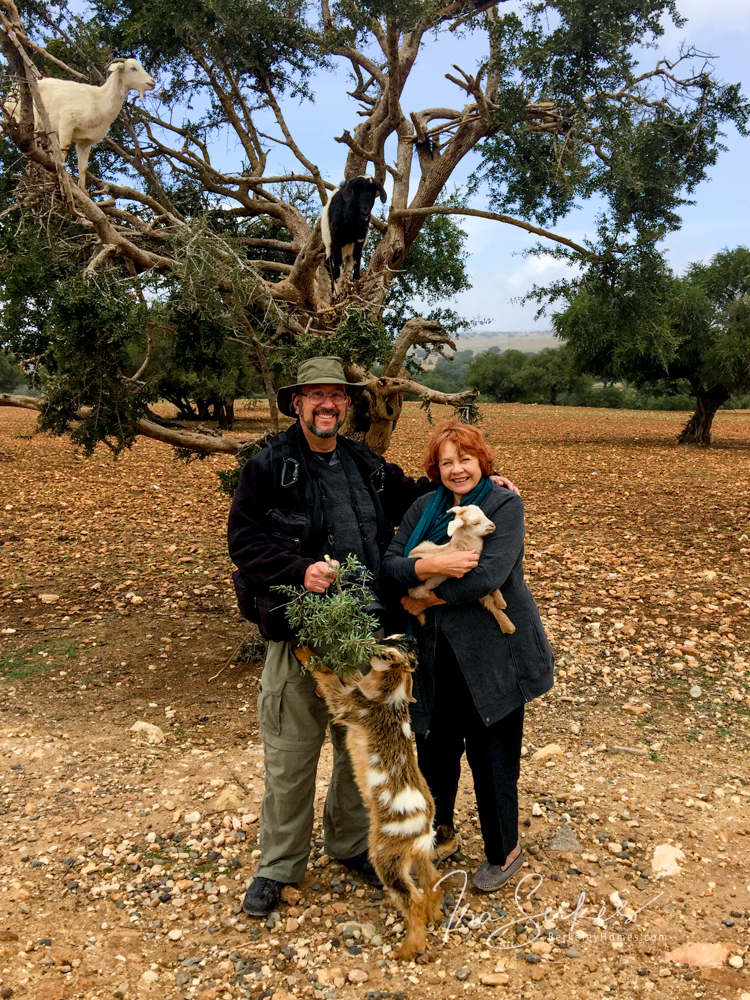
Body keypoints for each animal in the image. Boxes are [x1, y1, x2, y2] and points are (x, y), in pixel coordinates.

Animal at [5, 58, 156, 189]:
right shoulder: (67, 122)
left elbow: (83, 168)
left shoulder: (85, 141)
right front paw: (60, 178)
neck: (100, 101)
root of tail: (9, 96)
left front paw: (84, 191)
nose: (152, 82)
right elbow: (64, 150)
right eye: (133, 68)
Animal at [296, 636, 446, 964]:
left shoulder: (348, 704)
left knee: (412, 898)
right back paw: (435, 917)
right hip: (419, 853)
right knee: (432, 880)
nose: (369, 644)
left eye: (386, 655)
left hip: (385, 857)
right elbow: (346, 676)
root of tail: (423, 824)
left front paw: (303, 651)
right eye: (391, 638)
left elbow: (328, 678)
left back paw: (407, 950)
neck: (386, 695)